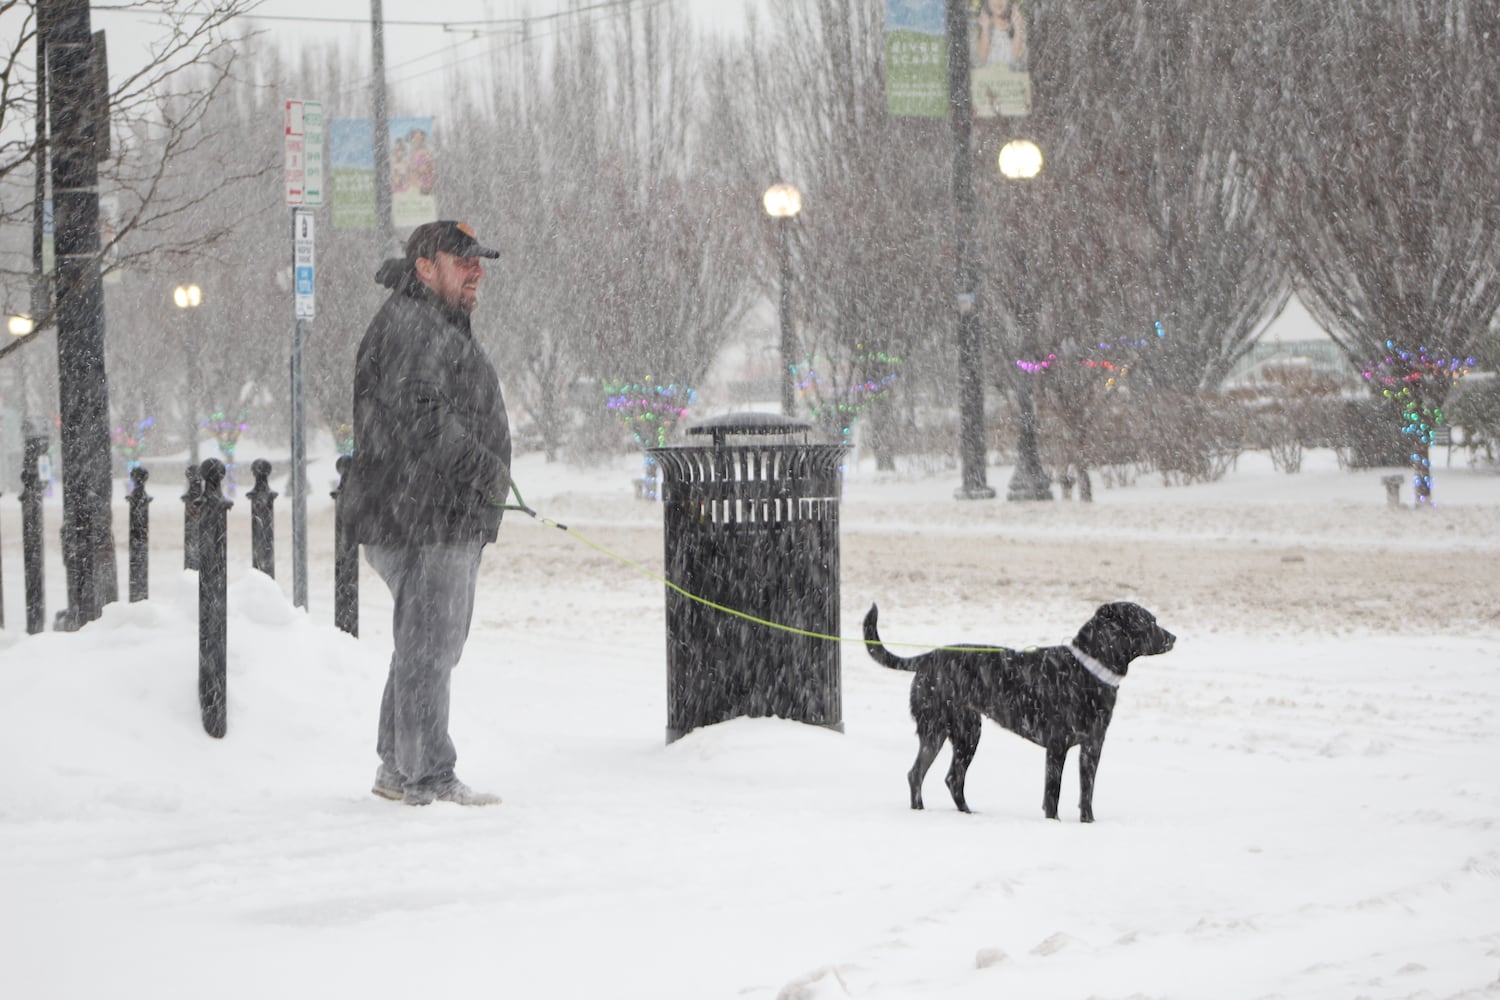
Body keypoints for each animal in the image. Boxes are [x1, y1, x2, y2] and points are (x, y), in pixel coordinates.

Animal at [870, 602, 1170, 821]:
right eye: (1149, 621)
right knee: (919, 774)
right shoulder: (1057, 746)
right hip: (940, 730)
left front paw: (1088, 823)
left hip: (965, 732)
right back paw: (921, 812)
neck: (1087, 669)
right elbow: (1053, 794)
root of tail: (929, 656)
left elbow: (1087, 793)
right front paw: (1053, 823)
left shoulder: (1092, 747)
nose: (1173, 637)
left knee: (951, 778)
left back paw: (967, 814)